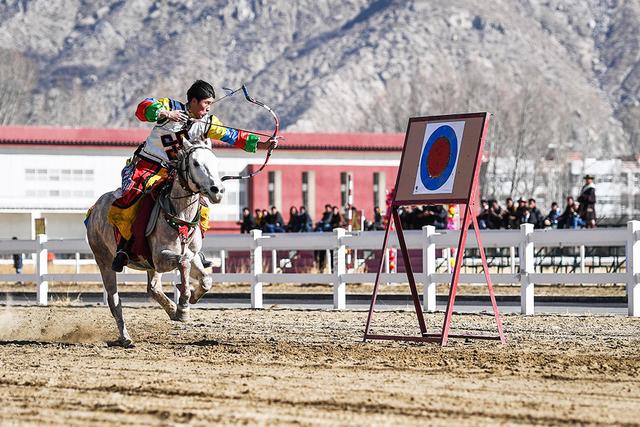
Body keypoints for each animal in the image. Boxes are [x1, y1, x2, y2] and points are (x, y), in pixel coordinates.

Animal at [85, 139, 225, 350]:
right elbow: (182, 263)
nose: (217, 190)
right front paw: (184, 304)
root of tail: (94, 209)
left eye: (215, 161)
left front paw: (190, 297)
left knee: (153, 287)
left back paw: (172, 310)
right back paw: (126, 337)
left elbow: (205, 279)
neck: (179, 216)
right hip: (105, 261)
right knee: (114, 300)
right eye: (195, 163)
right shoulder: (161, 258)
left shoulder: (191, 255)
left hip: (149, 266)